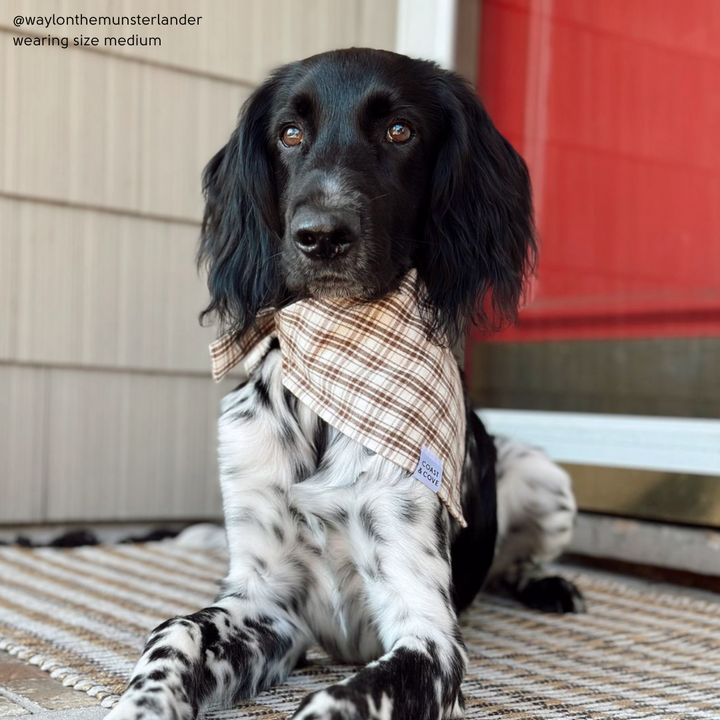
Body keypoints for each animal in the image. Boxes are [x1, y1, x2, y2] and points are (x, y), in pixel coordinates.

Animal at [109, 47, 588, 716]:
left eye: (400, 130)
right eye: (289, 133)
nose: (321, 236)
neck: (336, 368)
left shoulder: (429, 634)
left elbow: (347, 698)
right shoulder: (267, 605)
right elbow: (176, 634)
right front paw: (140, 702)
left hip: (542, 472)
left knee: (518, 561)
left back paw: (547, 583)